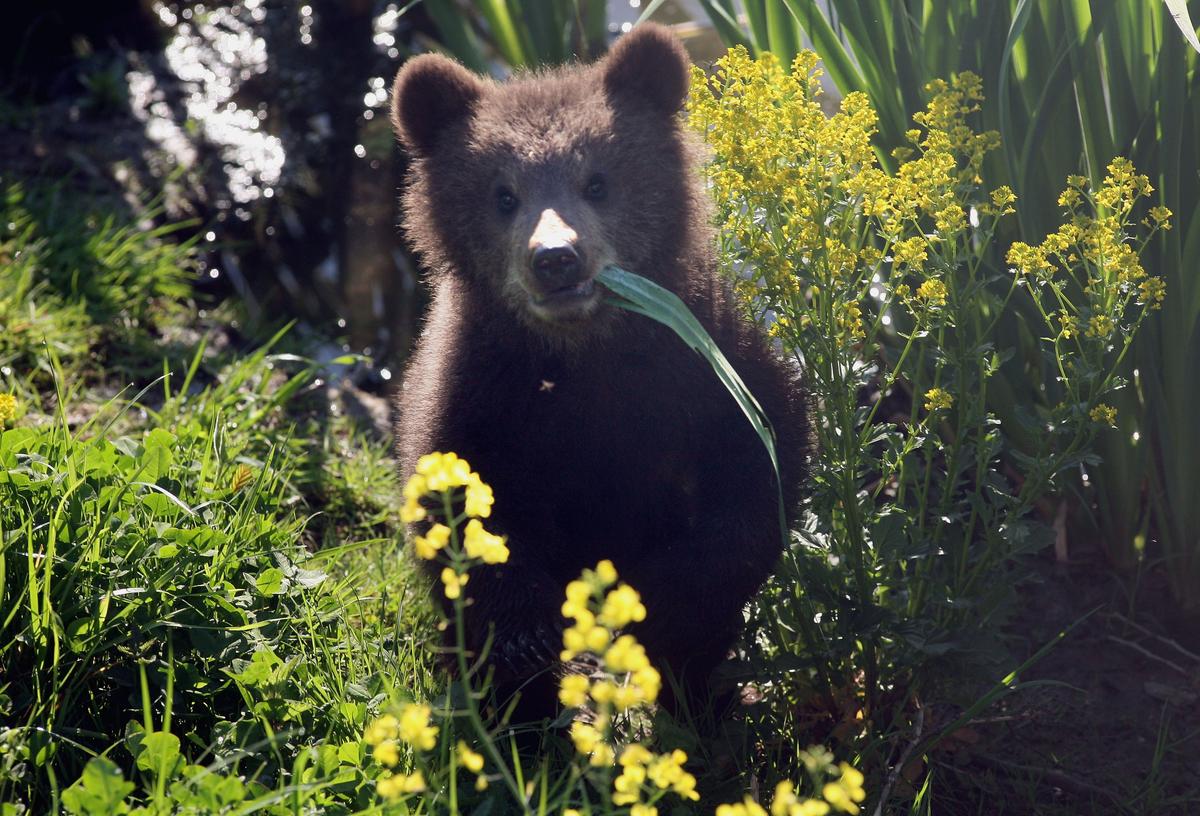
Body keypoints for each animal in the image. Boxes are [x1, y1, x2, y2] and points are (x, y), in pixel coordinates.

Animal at [389, 23, 810, 714]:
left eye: (597, 182)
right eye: (503, 195)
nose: (556, 258)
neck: (585, 357)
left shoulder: (707, 365)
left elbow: (755, 481)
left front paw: (665, 609)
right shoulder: (479, 391)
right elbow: (459, 508)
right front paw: (523, 641)